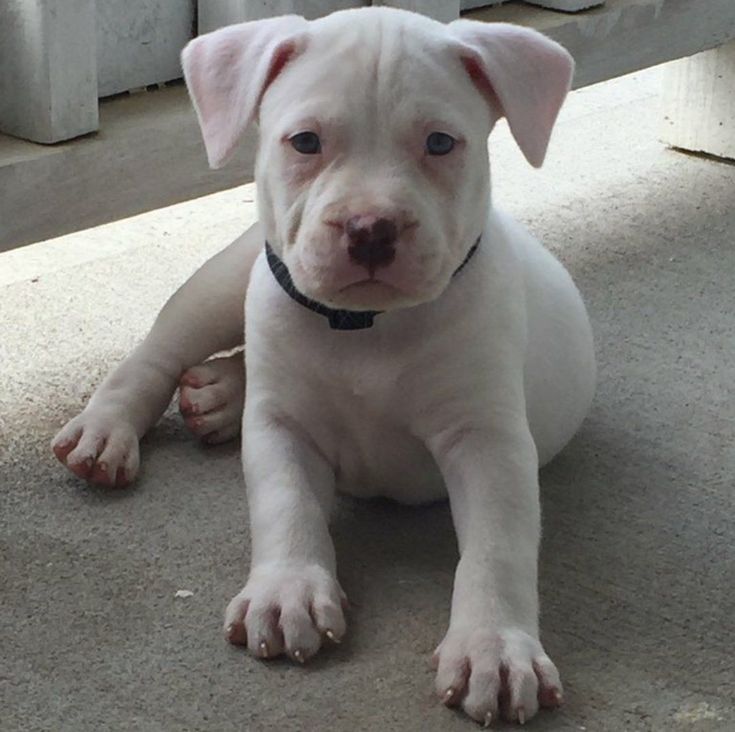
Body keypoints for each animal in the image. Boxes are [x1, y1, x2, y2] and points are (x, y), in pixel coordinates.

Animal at [51, 7, 596, 728]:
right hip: (227, 278)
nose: (371, 229)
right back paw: (106, 429)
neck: (364, 328)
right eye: (304, 141)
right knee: (161, 350)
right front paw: (287, 592)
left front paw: (493, 650)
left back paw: (219, 396)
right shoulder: (282, 429)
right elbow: (285, 502)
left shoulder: (488, 442)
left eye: (440, 143)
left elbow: (495, 547)